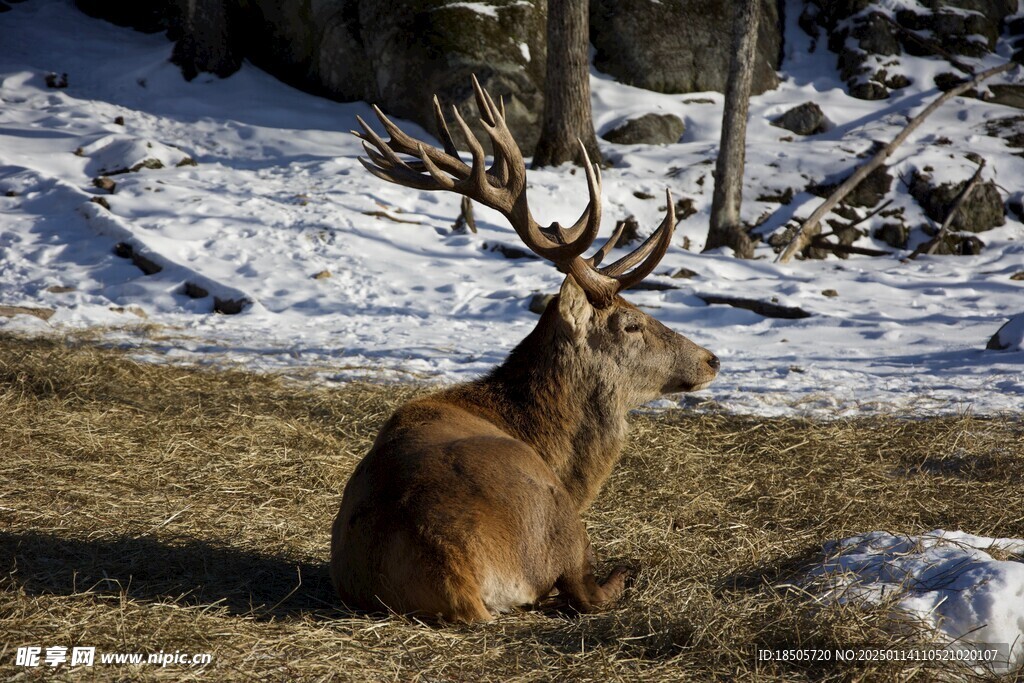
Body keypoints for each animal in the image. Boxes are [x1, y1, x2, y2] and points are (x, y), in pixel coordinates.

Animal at [329, 77, 720, 622]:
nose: (711, 359)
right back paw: (627, 572)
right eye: (630, 324)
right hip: (555, 517)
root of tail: (456, 573)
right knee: (583, 590)